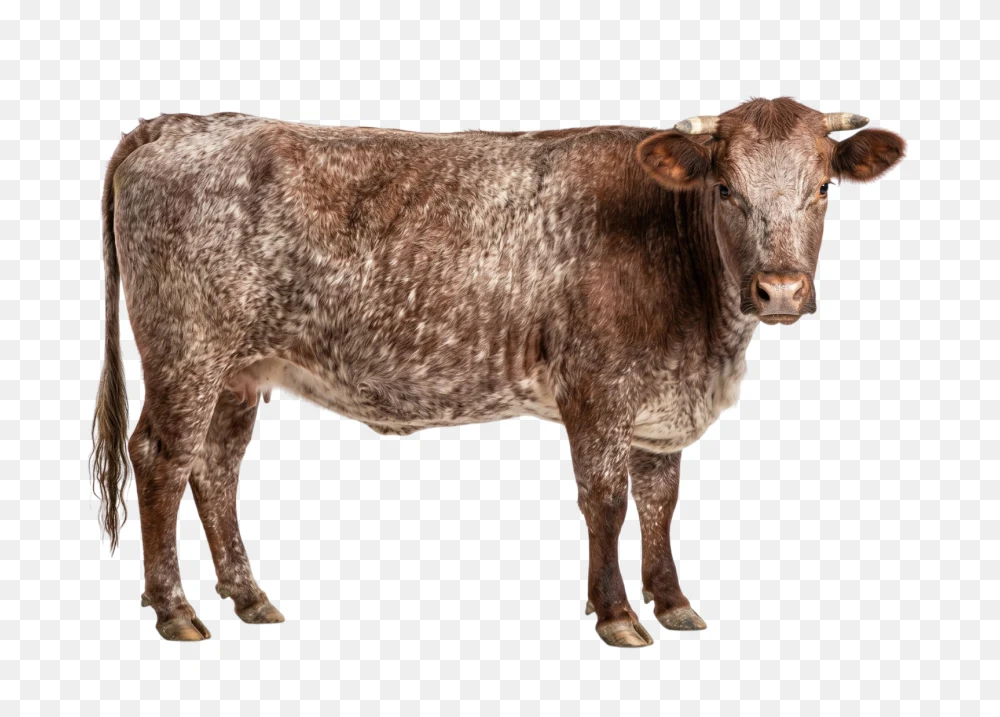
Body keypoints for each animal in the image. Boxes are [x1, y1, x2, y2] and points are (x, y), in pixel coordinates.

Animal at [91, 97, 905, 647]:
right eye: (727, 188)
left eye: (823, 186)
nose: (780, 291)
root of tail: (182, 123)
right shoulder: (595, 390)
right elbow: (606, 502)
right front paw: (617, 614)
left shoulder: (660, 405)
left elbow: (660, 502)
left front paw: (672, 601)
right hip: (186, 349)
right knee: (162, 459)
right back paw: (176, 609)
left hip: (240, 369)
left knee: (216, 467)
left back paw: (247, 595)